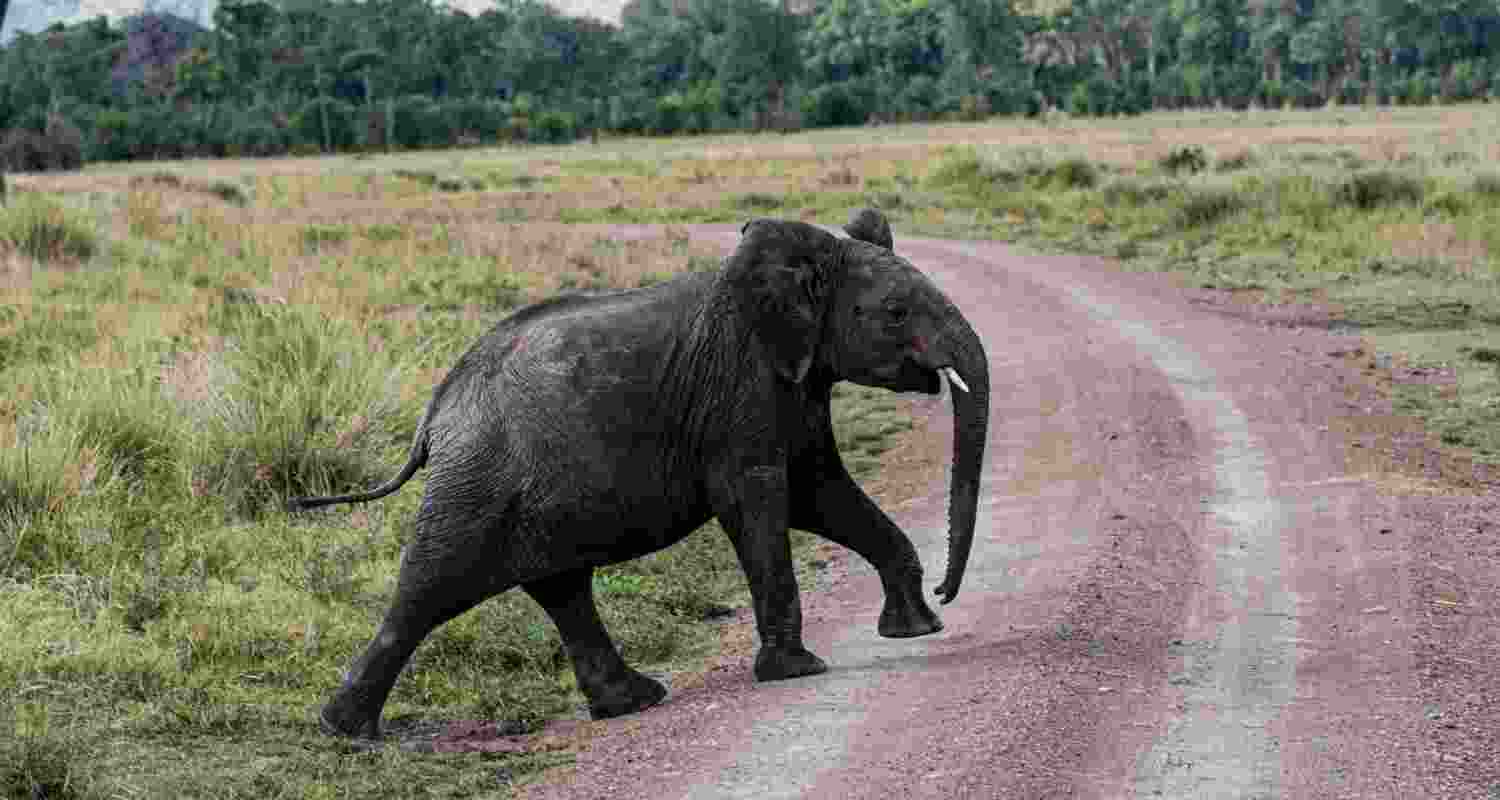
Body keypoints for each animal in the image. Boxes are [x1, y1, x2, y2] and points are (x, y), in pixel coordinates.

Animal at [287, 208, 990, 739]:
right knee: (431, 590)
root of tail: (434, 415)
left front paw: (917, 629)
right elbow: (760, 499)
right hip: (478, 482)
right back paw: (346, 732)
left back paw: (632, 702)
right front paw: (799, 671)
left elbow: (821, 493)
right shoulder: (740, 390)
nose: (951, 593)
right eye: (895, 313)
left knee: (562, 589)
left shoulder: (797, 383)